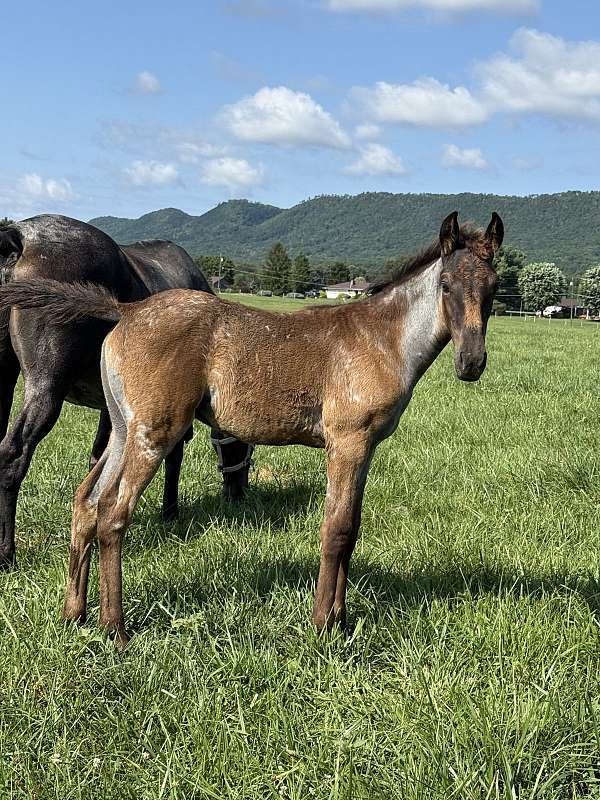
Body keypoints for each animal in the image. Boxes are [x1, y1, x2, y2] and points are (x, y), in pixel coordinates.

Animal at [0, 214, 253, 569]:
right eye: (248, 447)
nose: (238, 491)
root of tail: (19, 234)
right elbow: (173, 456)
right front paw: (170, 511)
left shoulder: (114, 409)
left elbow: (98, 457)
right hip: (46, 386)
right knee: (14, 453)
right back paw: (6, 552)